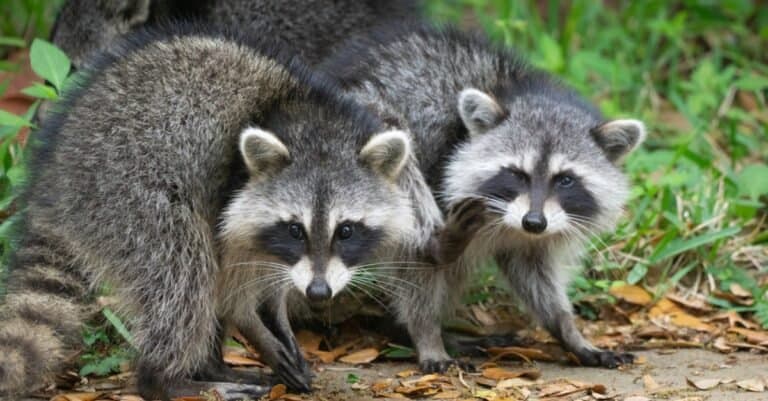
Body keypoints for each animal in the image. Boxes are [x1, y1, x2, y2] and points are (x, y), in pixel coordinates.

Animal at [0, 25, 434, 400]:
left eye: (345, 230)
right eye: (295, 229)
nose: (318, 293)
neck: (316, 124)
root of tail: (54, 182)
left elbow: (269, 275)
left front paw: (276, 316)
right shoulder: (229, 191)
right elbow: (229, 283)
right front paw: (256, 327)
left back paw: (210, 365)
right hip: (127, 193)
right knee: (184, 273)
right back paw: (166, 379)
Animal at [322, 24, 645, 369]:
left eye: (566, 180)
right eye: (517, 174)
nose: (534, 222)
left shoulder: (533, 231)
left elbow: (532, 271)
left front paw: (567, 329)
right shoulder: (439, 167)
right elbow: (417, 266)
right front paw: (427, 335)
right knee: (392, 135)